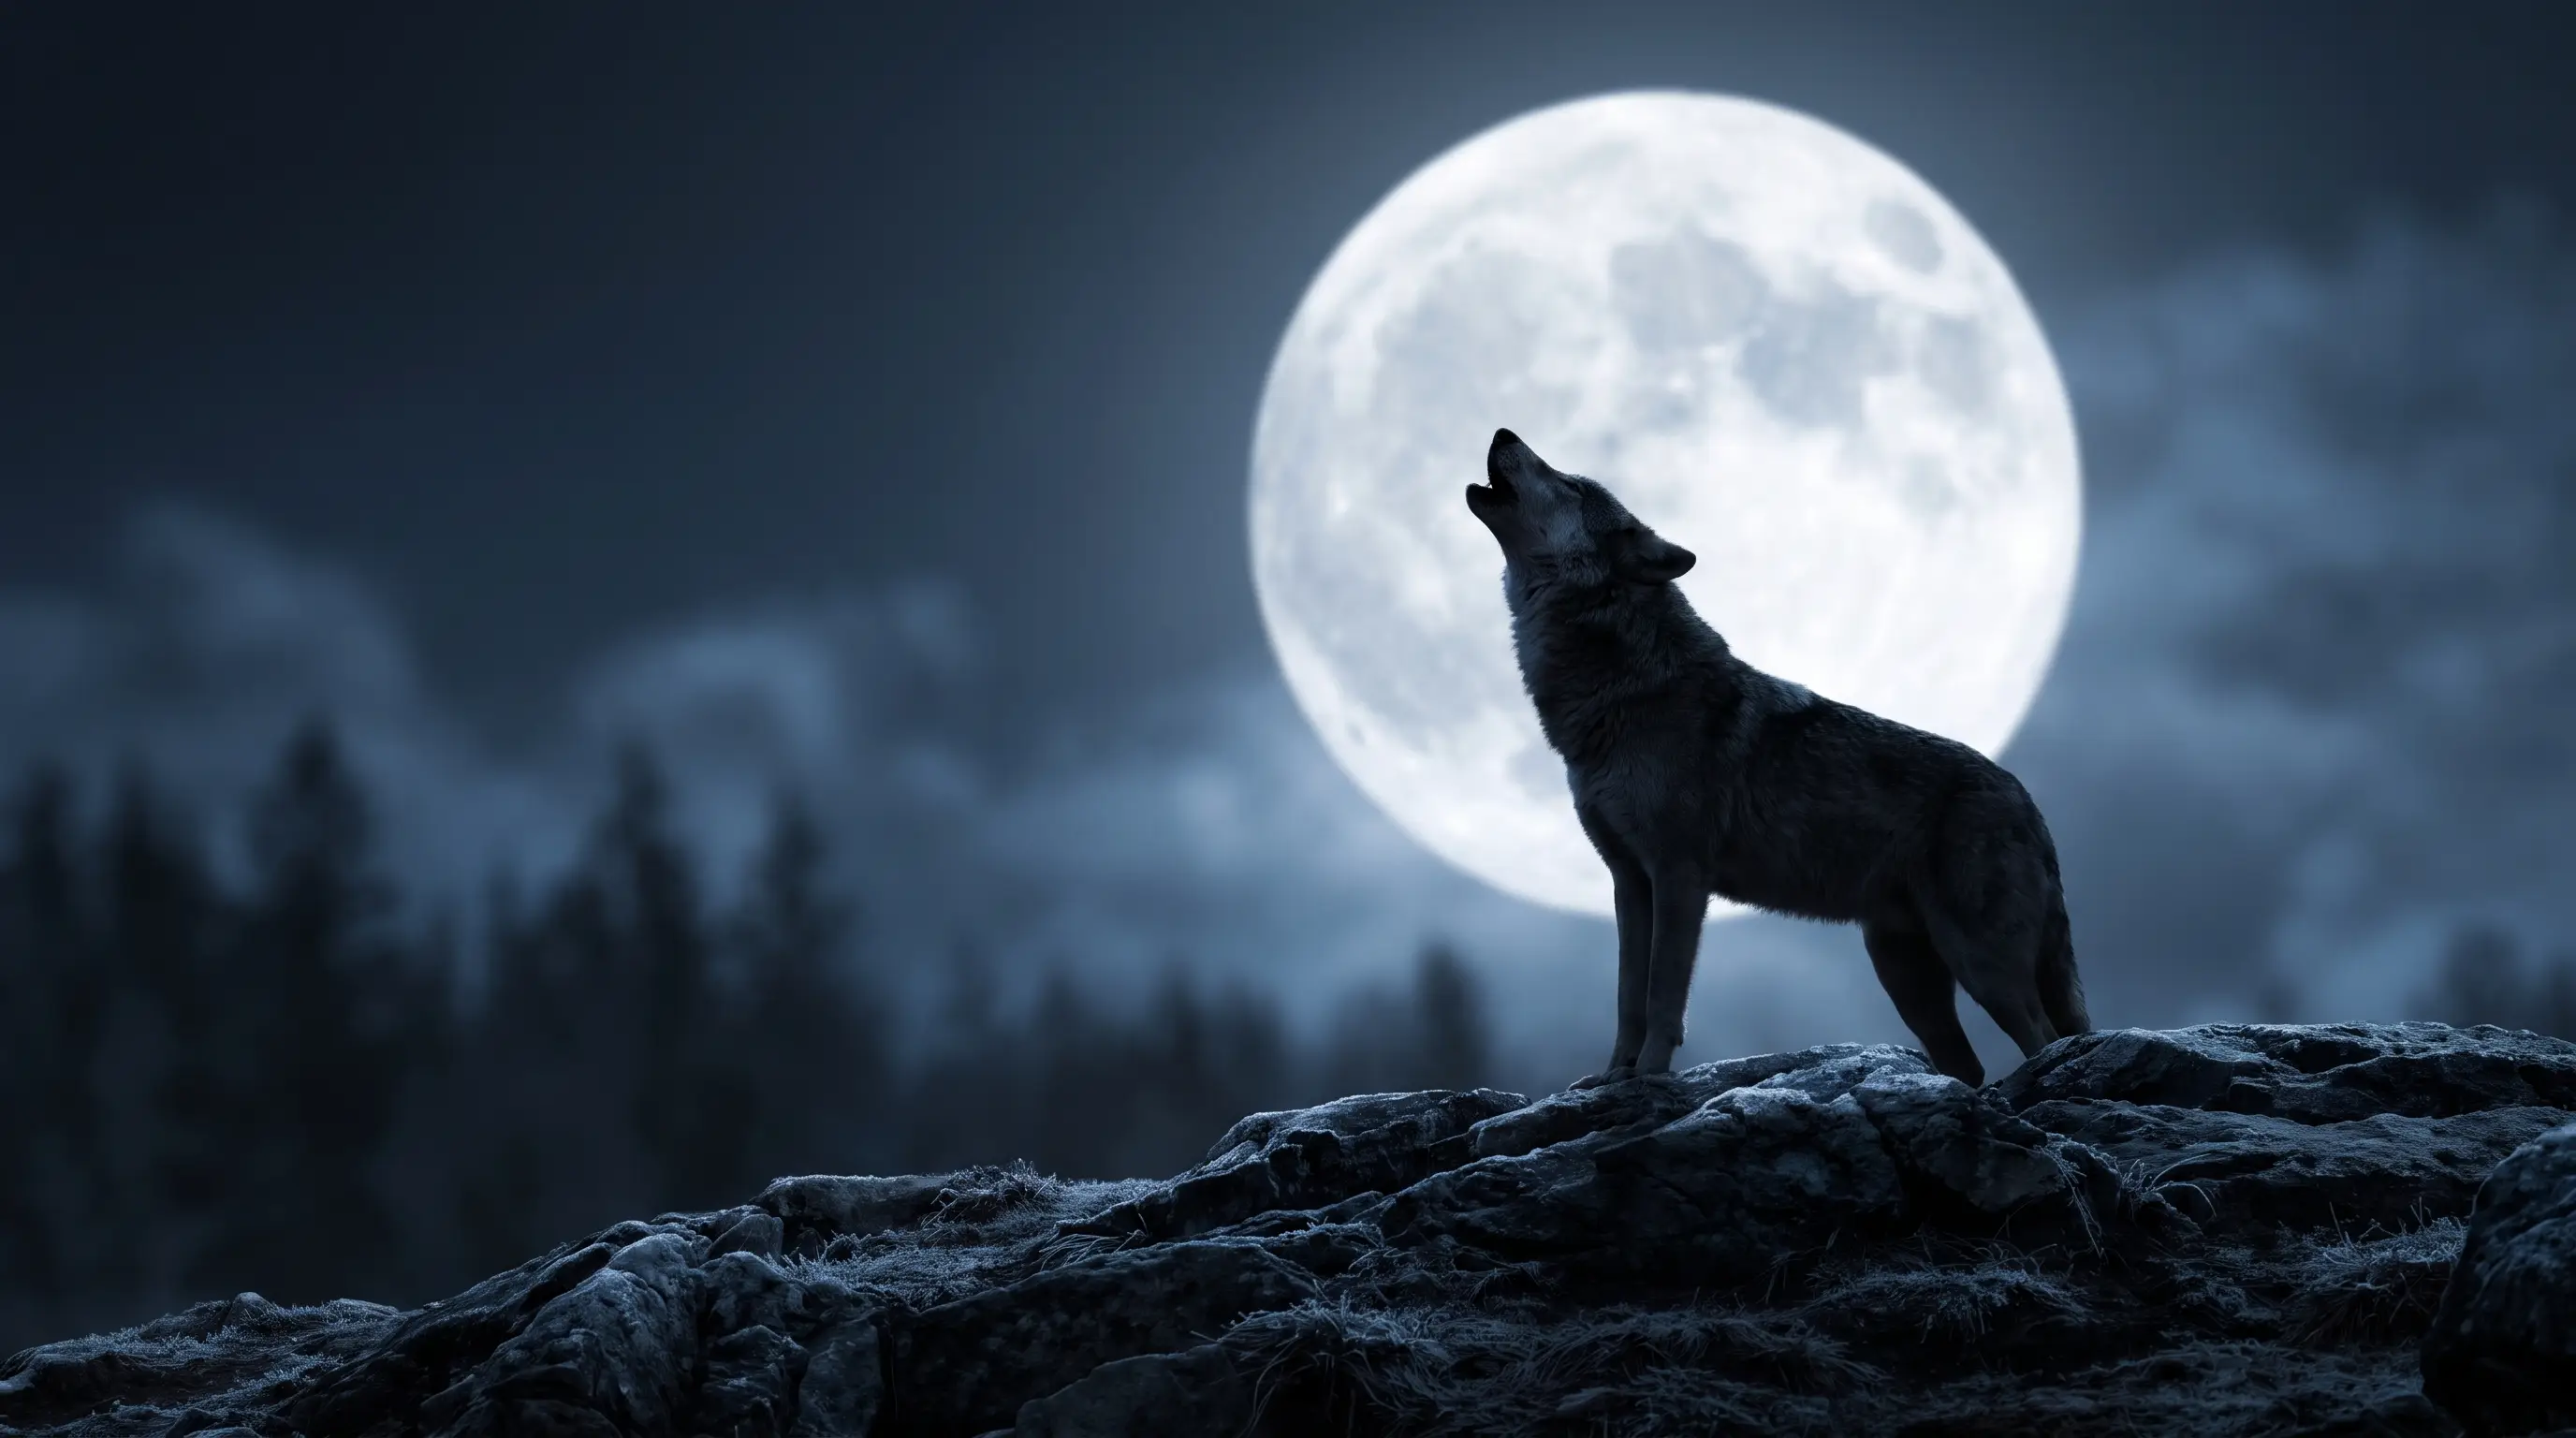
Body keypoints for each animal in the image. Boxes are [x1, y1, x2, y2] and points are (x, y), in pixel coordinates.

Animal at [1465, 429, 2089, 1088]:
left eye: (1569, 485)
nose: (1503, 433)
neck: (1624, 686)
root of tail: (2026, 799)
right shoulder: (1630, 882)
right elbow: (1627, 996)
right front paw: (1614, 1077)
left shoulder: (1680, 875)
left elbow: (1662, 995)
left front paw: (1652, 1077)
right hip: (1905, 975)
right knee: (1969, 1067)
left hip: (1981, 966)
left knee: (2043, 1037)